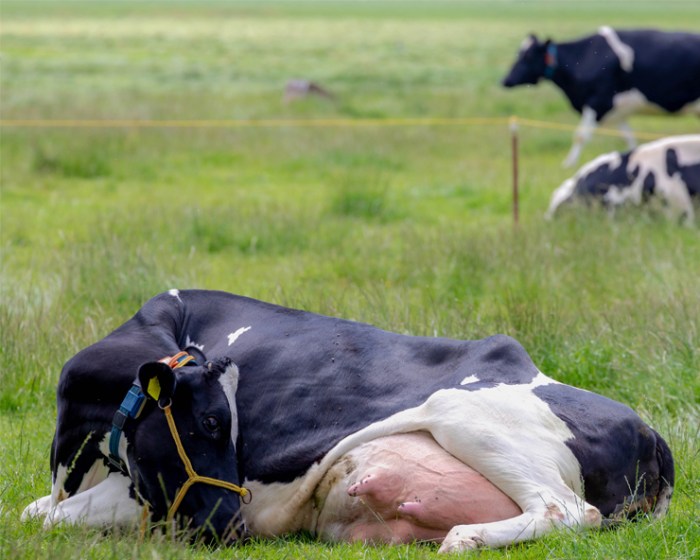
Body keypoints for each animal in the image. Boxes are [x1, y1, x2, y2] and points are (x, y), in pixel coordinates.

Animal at [24, 290, 676, 552]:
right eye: (210, 423)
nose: (233, 527)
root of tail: (648, 430)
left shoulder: (152, 496)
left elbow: (48, 519)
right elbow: (36, 510)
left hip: (466, 416)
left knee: (567, 510)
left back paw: (466, 538)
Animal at [500, 27, 700, 166]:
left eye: (527, 56)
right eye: (519, 54)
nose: (505, 80)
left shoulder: (599, 102)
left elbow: (580, 136)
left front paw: (568, 164)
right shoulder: (617, 110)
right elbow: (629, 138)